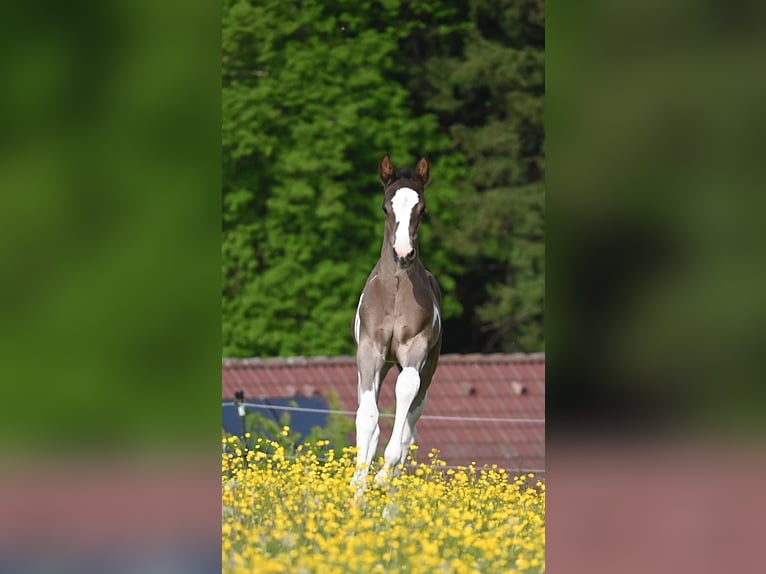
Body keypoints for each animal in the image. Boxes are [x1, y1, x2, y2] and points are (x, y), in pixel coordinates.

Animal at [350, 154, 442, 490]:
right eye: (385, 207)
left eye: (422, 209)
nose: (403, 254)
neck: (395, 294)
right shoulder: (369, 351)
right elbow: (368, 418)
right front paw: (357, 484)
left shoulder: (414, 352)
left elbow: (404, 398)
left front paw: (381, 473)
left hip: (428, 369)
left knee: (410, 426)